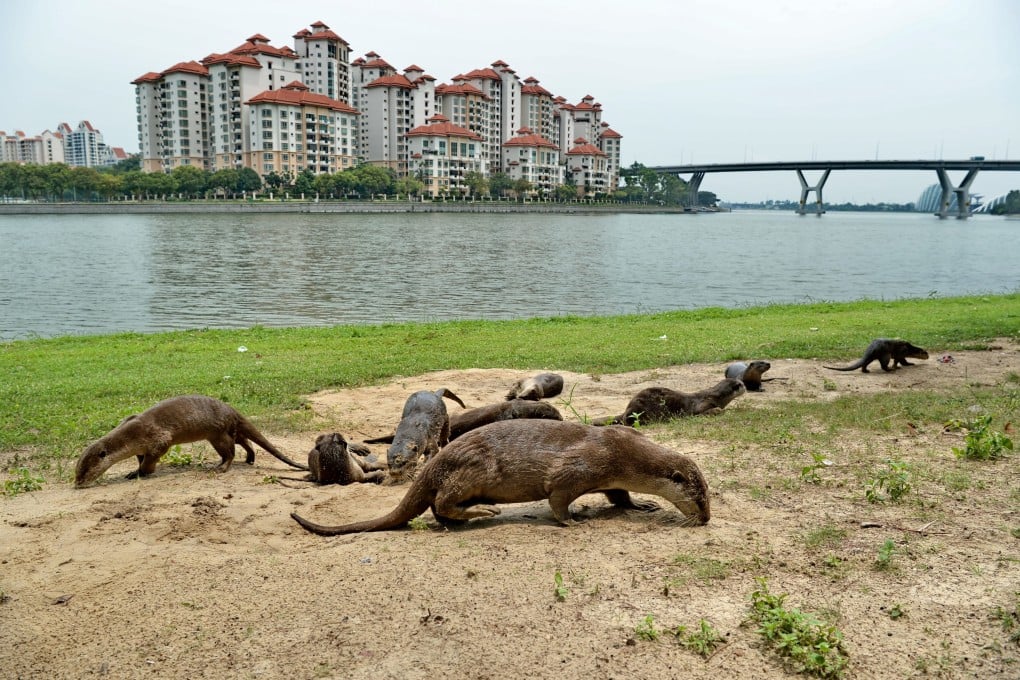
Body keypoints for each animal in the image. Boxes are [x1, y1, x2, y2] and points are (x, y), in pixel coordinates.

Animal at [74, 395, 306, 488]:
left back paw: (221, 468)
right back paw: (249, 459)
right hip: (225, 432)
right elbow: (140, 457)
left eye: (84, 471)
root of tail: (231, 409)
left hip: (218, 434)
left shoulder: (159, 438)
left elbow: (151, 460)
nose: (77, 483)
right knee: (245, 442)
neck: (132, 434)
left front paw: (141, 473)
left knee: (230, 452)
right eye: (77, 471)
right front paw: (134, 470)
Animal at [290, 419, 710, 535]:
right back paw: (482, 514)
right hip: (475, 468)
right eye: (701, 498)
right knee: (442, 501)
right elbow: (557, 498)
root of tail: (435, 462)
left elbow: (620, 496)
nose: (706, 518)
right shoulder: (579, 469)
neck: (623, 452)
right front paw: (573, 520)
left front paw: (641, 504)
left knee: (438, 510)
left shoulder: (614, 477)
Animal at [591, 378, 746, 426]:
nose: (746, 386)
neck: (716, 396)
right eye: (741, 384)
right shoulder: (702, 404)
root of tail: (627, 408)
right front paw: (718, 411)